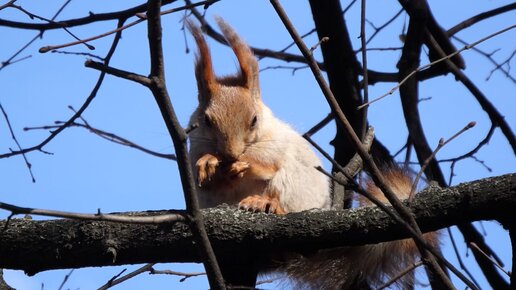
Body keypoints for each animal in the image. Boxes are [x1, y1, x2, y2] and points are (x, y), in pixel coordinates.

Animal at [187, 18, 438, 290]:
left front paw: (240, 164)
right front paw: (209, 163)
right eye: (207, 120)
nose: (231, 154)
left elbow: (267, 163)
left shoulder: (275, 146)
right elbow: (208, 179)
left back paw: (265, 203)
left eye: (253, 120)